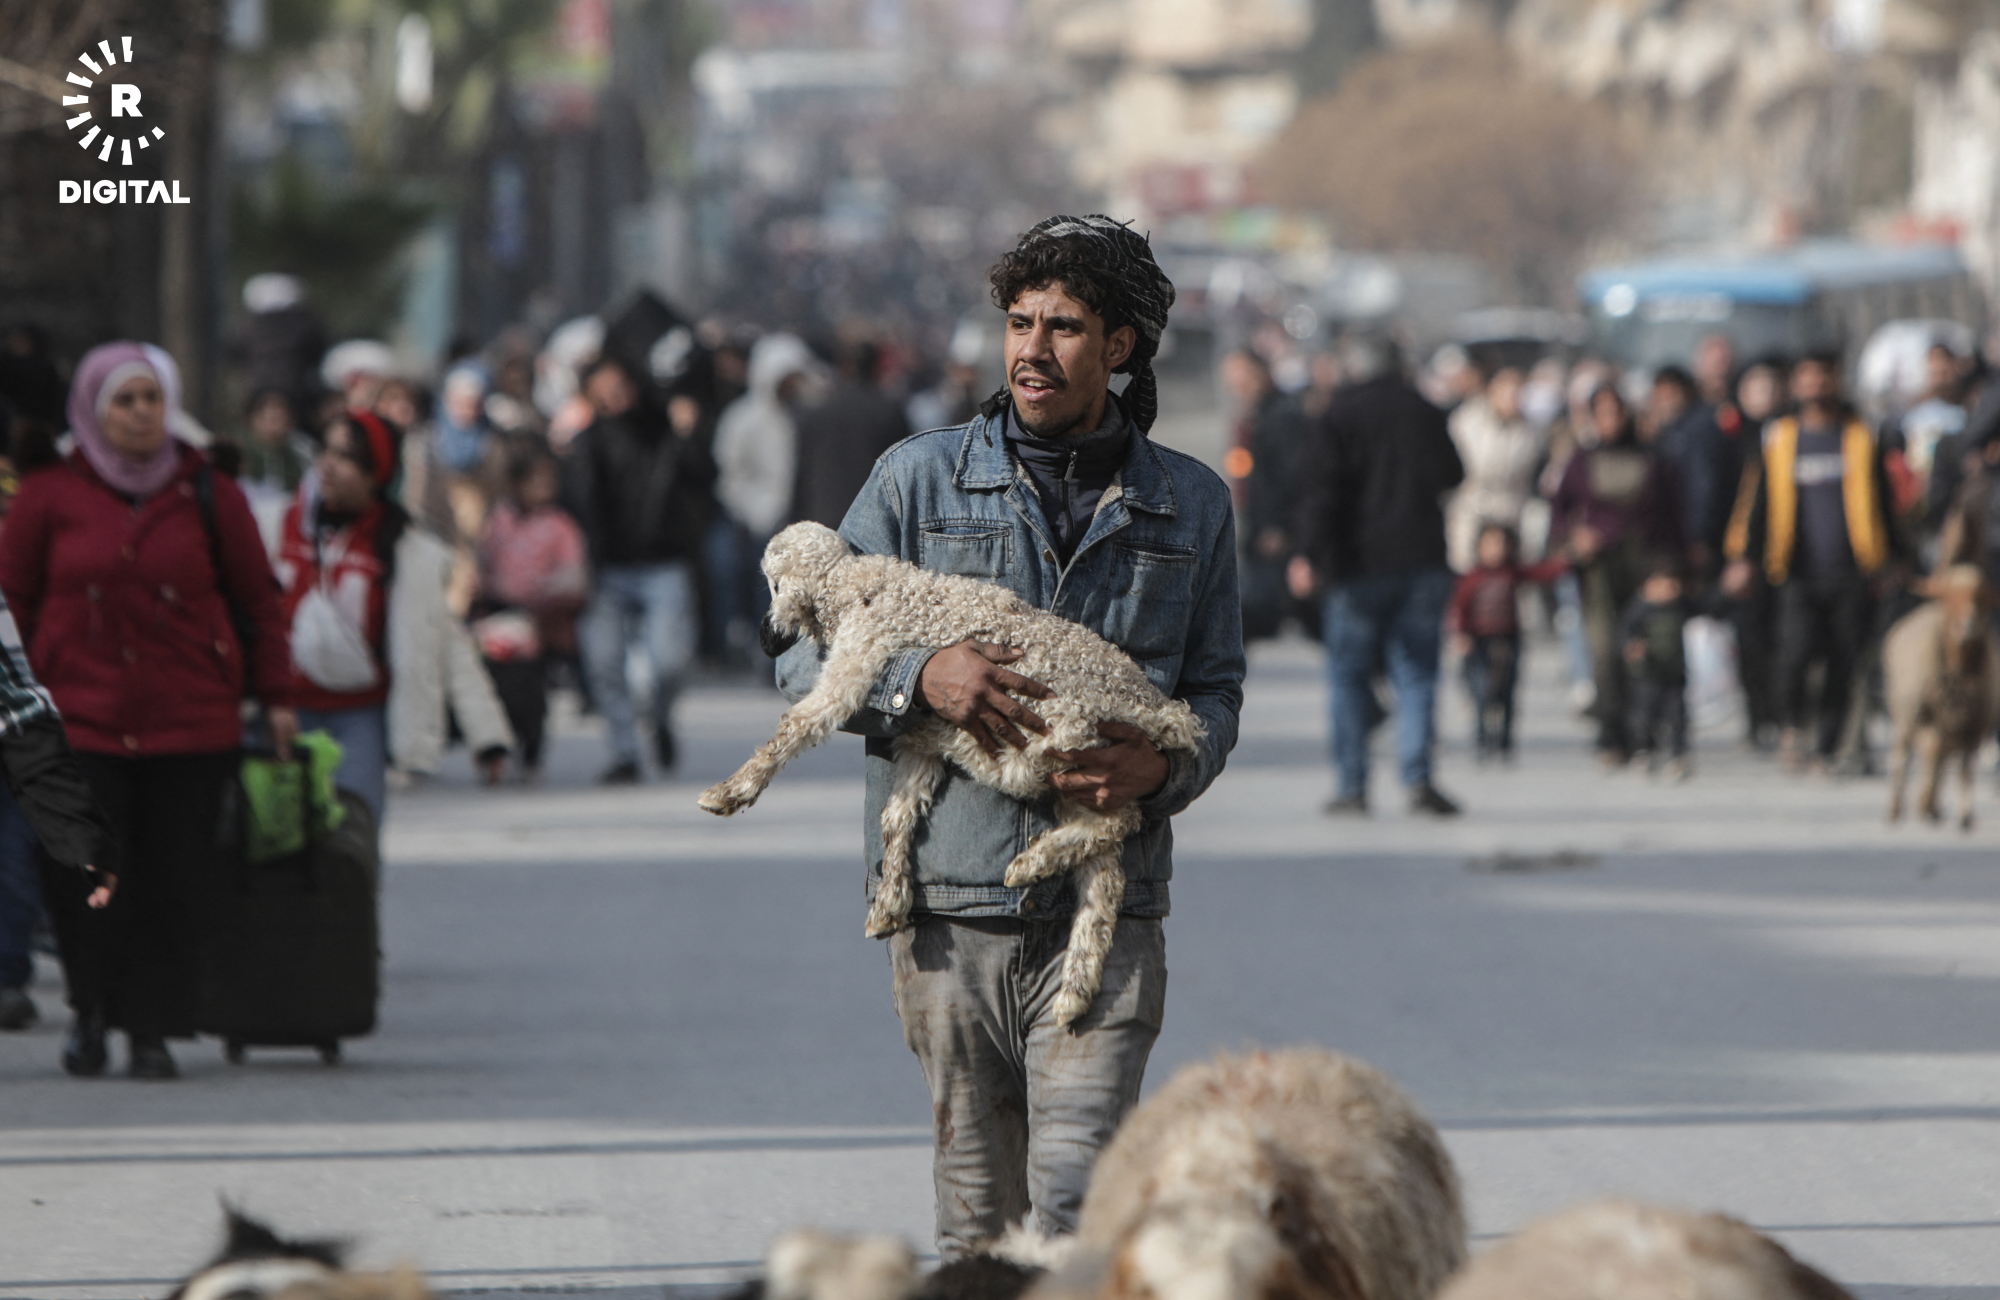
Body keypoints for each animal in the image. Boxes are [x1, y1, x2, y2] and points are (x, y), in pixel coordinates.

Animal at [699, 520, 1203, 1026]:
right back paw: (1074, 991)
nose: (765, 640)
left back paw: (1031, 865)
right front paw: (890, 904)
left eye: (772, 583)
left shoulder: (859, 661)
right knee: (1106, 879)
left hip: (1072, 748)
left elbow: (797, 724)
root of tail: (1163, 712)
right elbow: (896, 815)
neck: (854, 587)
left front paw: (728, 793)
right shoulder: (921, 739)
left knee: (1119, 823)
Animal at [1884, 564, 2000, 830]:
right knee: (1904, 757)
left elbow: (1965, 767)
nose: (1969, 623)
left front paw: (1965, 817)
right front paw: (1926, 803)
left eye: (1981, 598)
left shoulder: (1974, 725)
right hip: (1907, 714)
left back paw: (1933, 806)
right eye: (1949, 597)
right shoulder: (1929, 716)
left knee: (1944, 759)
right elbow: (1934, 752)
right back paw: (1898, 808)